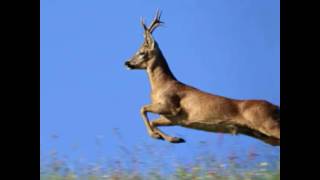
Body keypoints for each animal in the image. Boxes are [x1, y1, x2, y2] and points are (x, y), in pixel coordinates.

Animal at [124, 10, 278, 146]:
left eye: (142, 52)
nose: (127, 63)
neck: (162, 86)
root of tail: (276, 108)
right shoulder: (174, 119)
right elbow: (153, 121)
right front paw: (174, 139)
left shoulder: (171, 106)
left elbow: (142, 108)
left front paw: (160, 136)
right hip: (262, 135)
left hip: (267, 123)